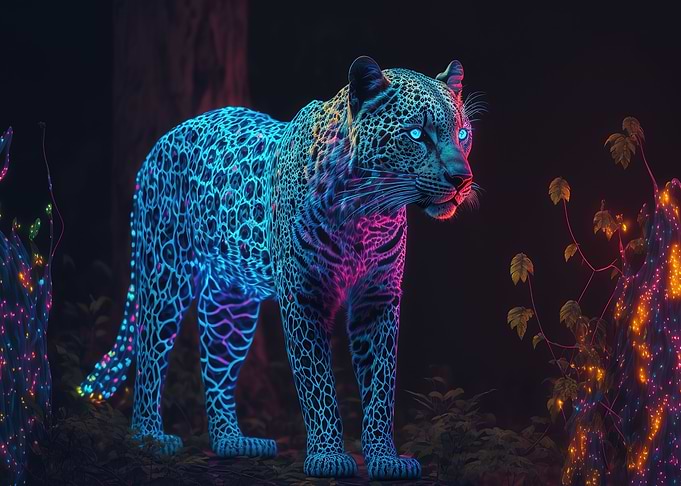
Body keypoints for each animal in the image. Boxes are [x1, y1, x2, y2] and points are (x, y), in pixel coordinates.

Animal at [80, 56, 479, 480]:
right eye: (417, 134)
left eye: (463, 134)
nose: (462, 178)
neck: (366, 214)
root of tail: (163, 140)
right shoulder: (304, 296)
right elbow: (316, 379)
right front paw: (328, 457)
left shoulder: (377, 298)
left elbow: (381, 382)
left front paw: (385, 458)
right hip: (165, 272)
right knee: (150, 351)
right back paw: (149, 437)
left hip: (231, 304)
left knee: (216, 364)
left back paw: (233, 441)